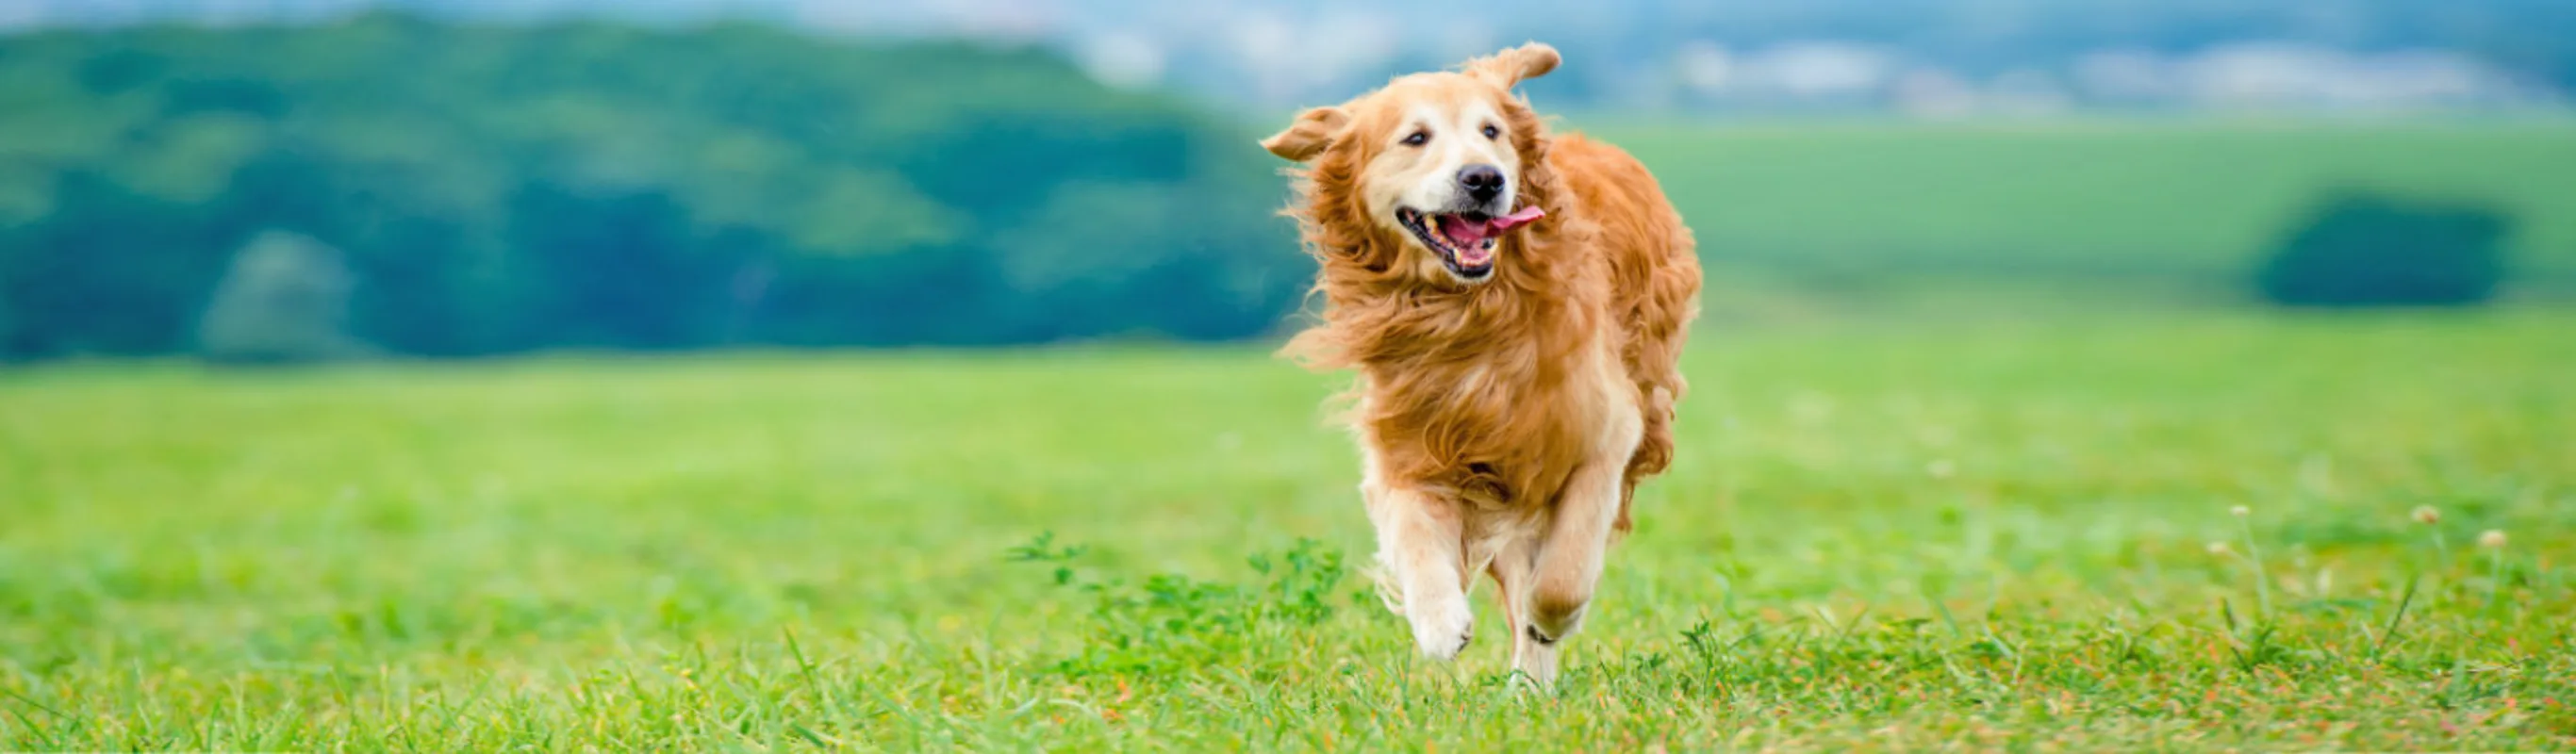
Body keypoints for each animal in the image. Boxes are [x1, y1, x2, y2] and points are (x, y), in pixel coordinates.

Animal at [1257, 42, 1700, 684]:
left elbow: (1563, 573)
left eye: (1491, 131)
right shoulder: (1407, 447)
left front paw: (1553, 618)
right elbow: (1415, 535)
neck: (1469, 314)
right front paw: (1440, 623)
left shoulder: (1604, 434)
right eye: (1415, 137)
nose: (1485, 177)